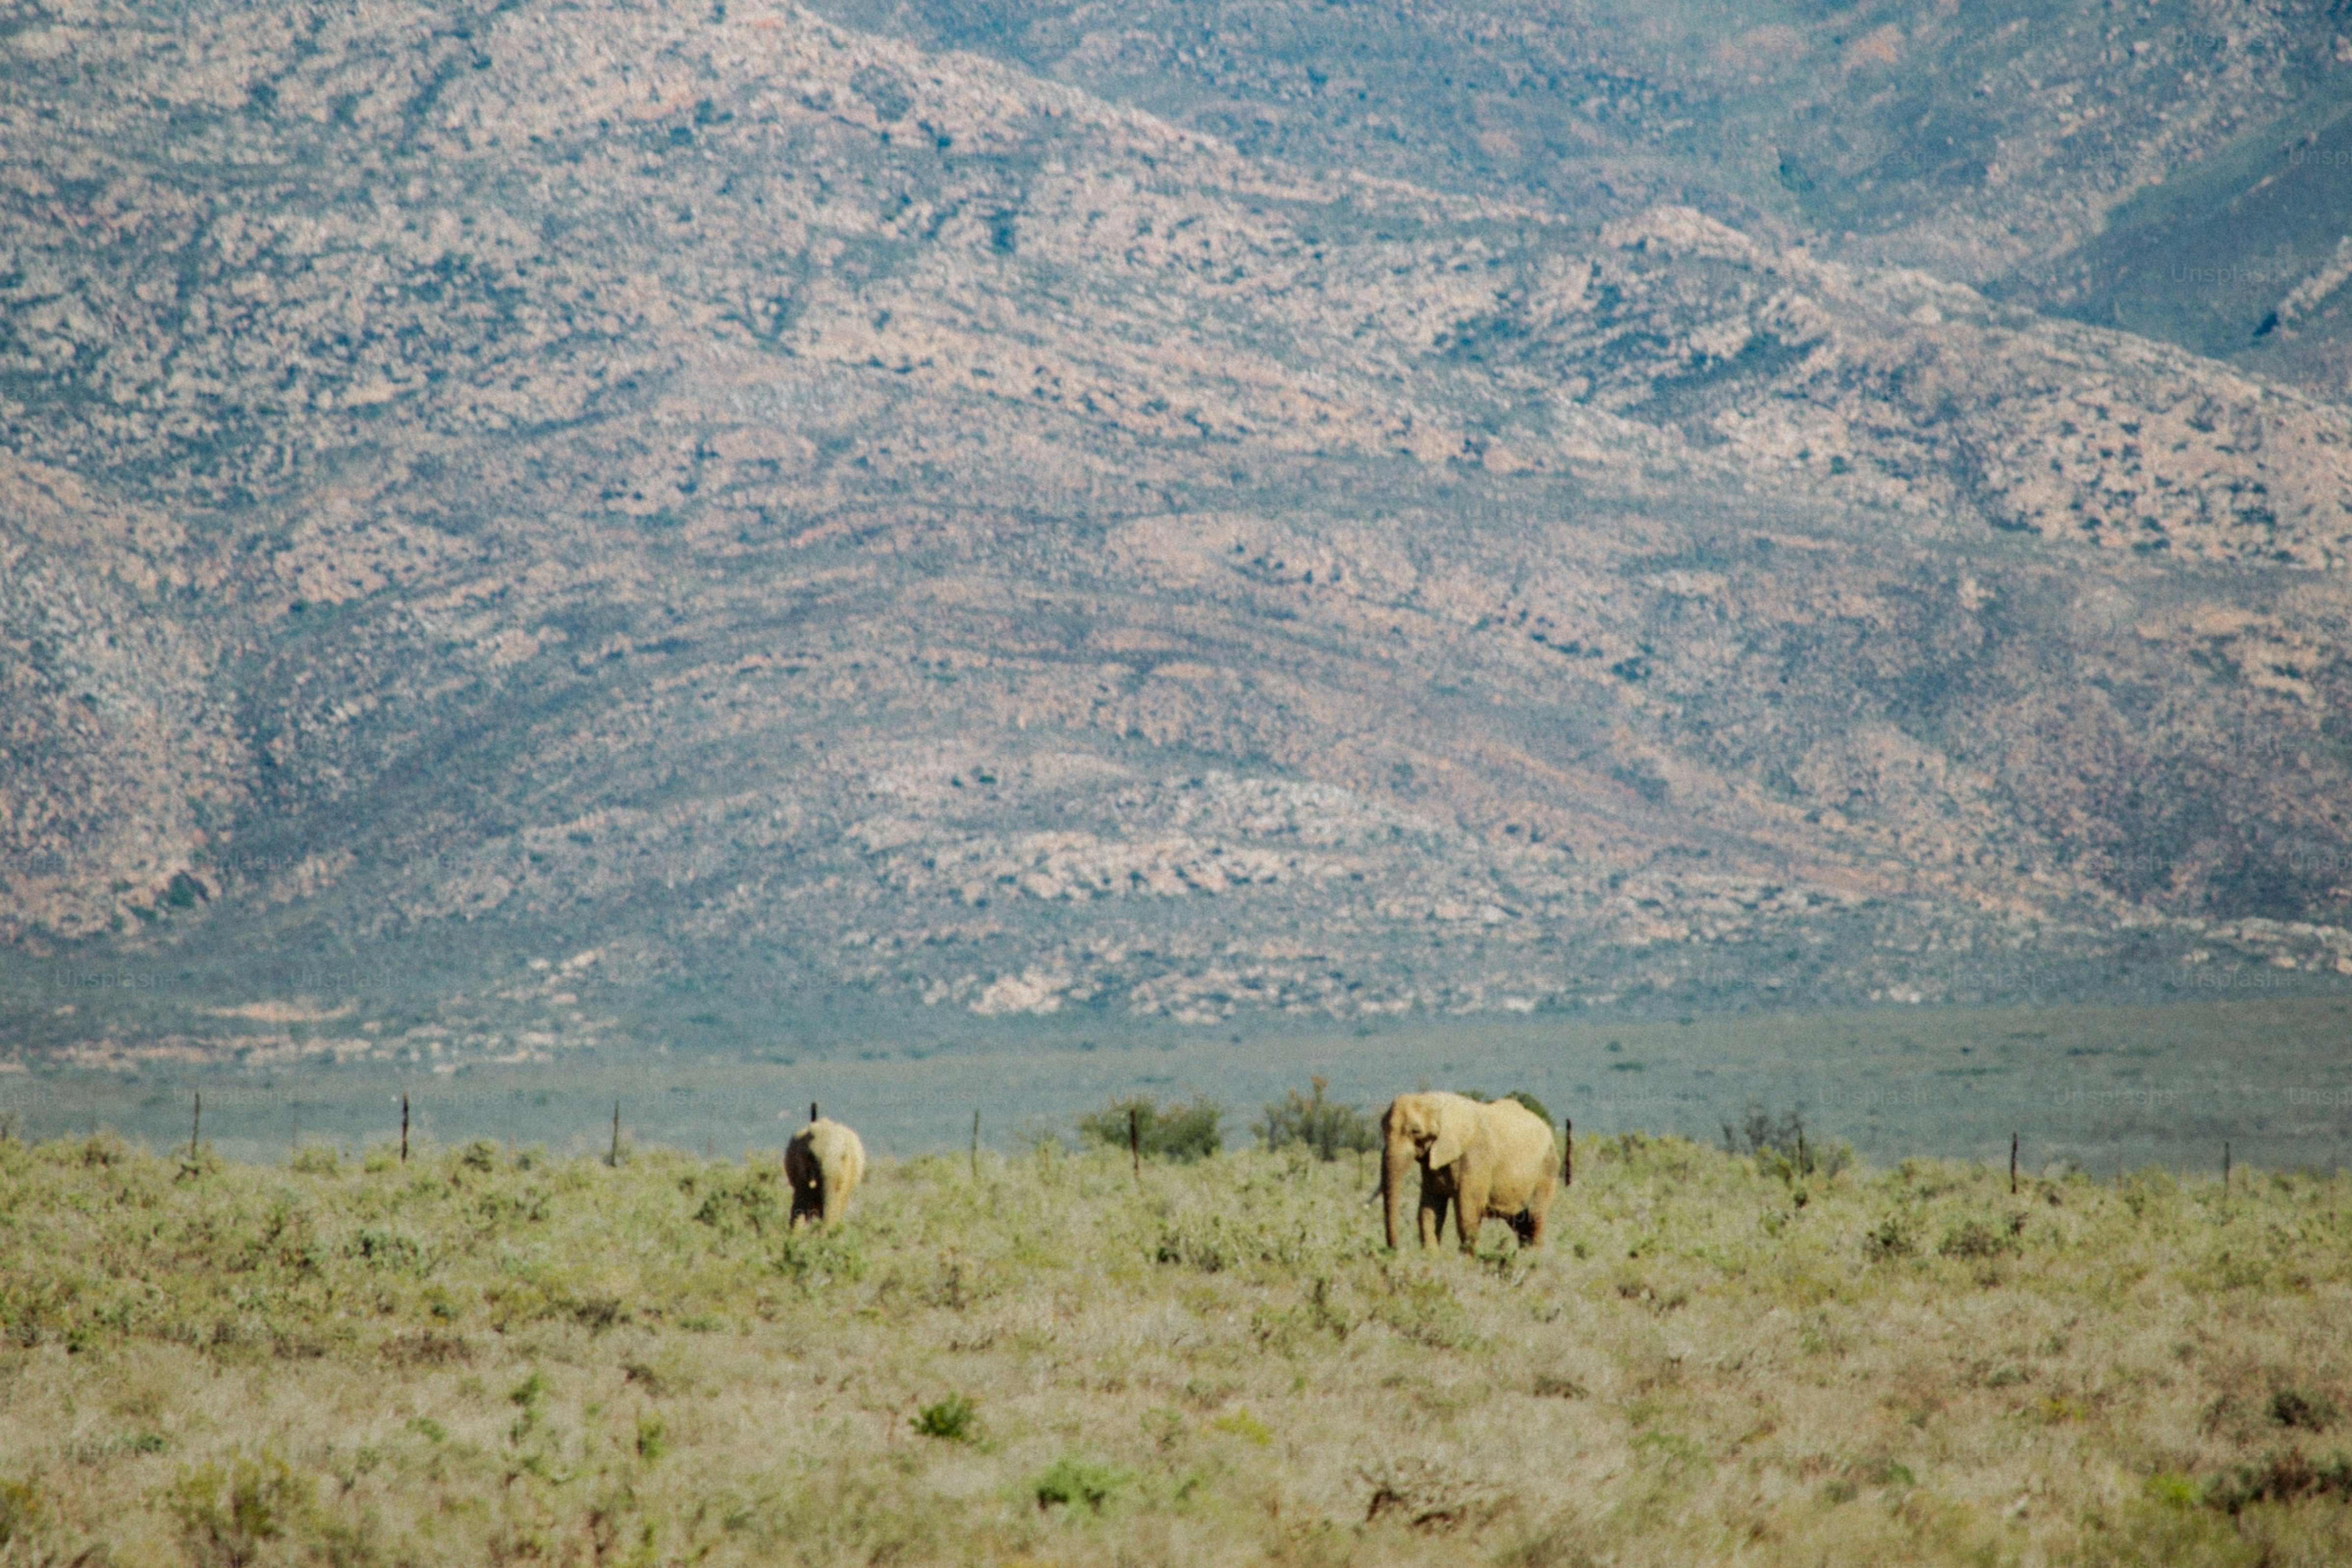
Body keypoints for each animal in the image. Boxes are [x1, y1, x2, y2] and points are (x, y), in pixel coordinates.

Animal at [1380, 1092, 1560, 1252]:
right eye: (1383, 1130)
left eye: (1416, 1132)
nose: (1394, 1250)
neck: (1435, 1100)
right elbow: (1430, 1208)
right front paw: (1431, 1257)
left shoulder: (1475, 1158)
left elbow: (1467, 1211)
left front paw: (1468, 1260)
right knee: (1521, 1224)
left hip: (1547, 1168)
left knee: (1535, 1217)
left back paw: (1533, 1258)